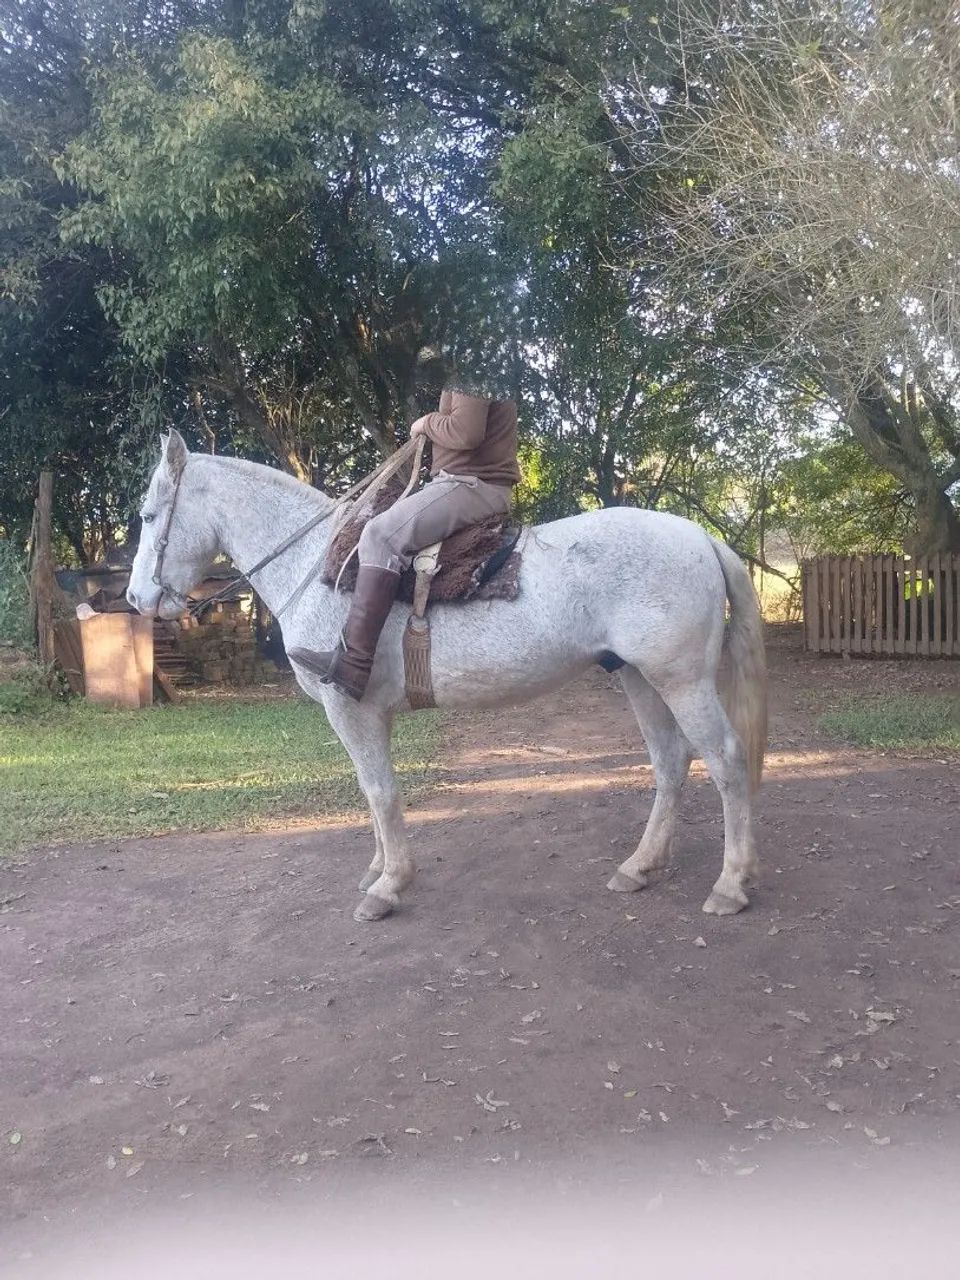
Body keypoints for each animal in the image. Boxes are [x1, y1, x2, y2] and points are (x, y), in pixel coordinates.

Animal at [127, 430, 767, 924]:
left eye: (149, 516)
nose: (135, 599)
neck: (317, 566)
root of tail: (700, 536)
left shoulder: (351, 710)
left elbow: (381, 791)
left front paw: (389, 886)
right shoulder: (364, 715)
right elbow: (372, 790)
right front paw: (378, 870)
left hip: (681, 681)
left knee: (726, 760)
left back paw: (730, 885)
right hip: (639, 677)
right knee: (670, 762)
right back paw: (640, 867)